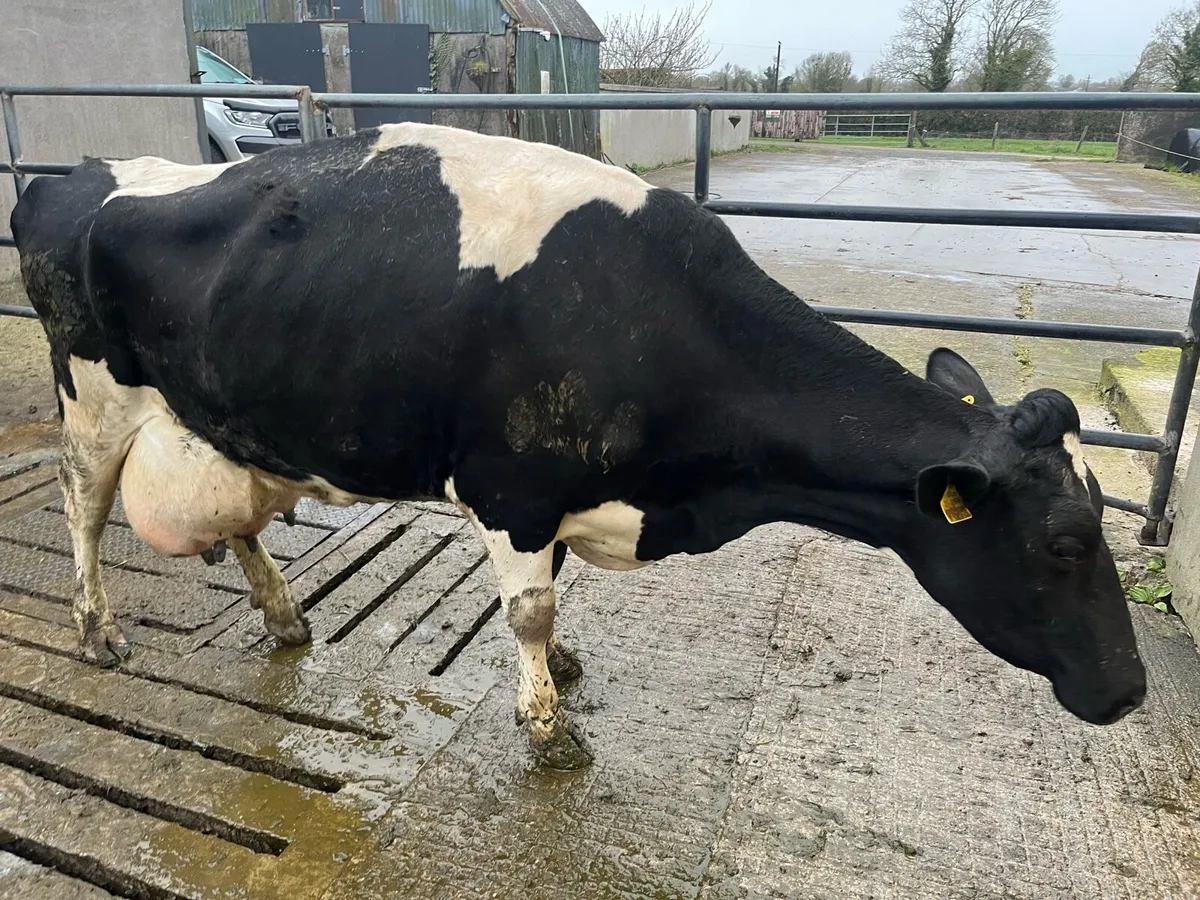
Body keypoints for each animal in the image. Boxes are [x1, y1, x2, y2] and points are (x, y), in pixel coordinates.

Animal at [9, 122, 1145, 770]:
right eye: (1063, 545)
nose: (1132, 690)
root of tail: (75, 177)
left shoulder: (558, 495)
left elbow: (554, 588)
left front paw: (560, 670)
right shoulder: (511, 484)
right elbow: (530, 602)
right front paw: (550, 727)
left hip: (219, 409)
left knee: (238, 515)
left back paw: (286, 617)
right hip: (94, 401)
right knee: (80, 504)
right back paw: (97, 630)